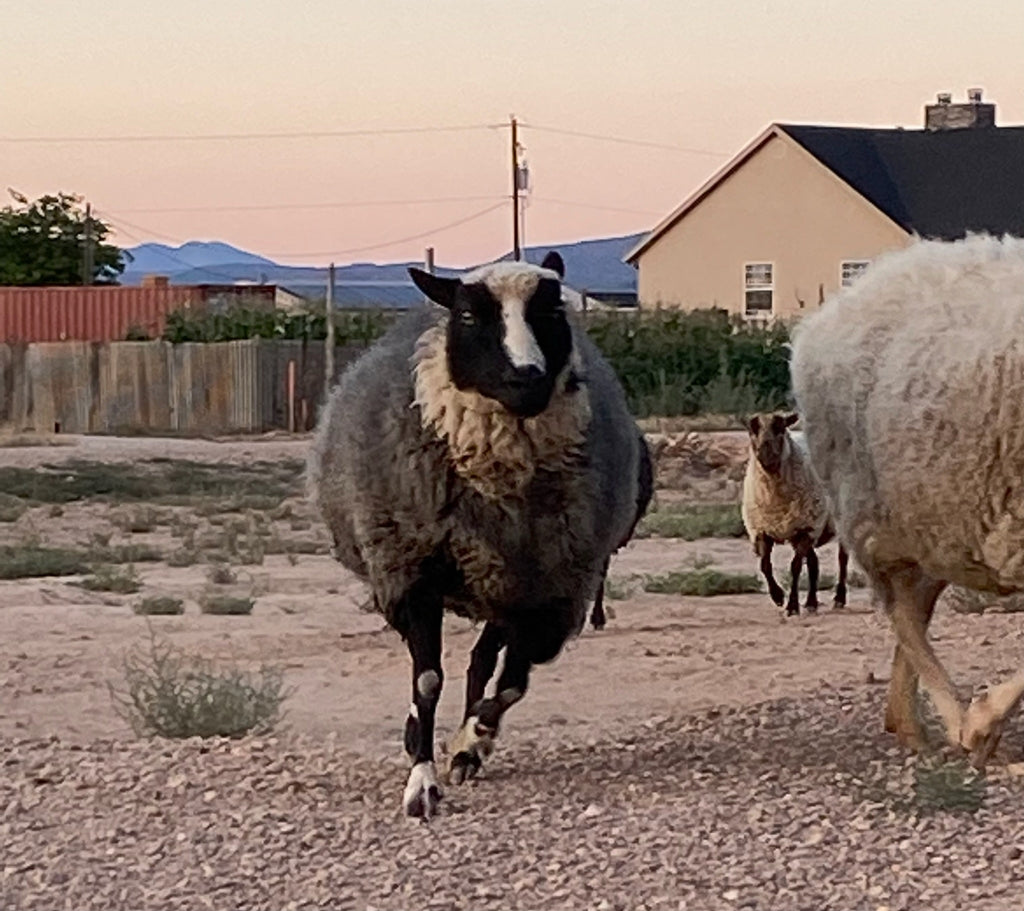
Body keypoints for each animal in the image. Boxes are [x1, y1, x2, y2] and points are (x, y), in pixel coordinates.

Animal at [307, 250, 645, 817]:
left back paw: (469, 745)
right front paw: (421, 781)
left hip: (505, 583)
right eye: (467, 316)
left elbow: (510, 686)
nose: (527, 378)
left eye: (553, 310)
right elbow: (428, 682)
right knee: (467, 666)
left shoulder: (551, 592)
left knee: (483, 664)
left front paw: (472, 740)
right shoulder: (411, 572)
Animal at [741, 411, 848, 615]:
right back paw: (811, 602)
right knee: (814, 563)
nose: (765, 454)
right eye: (752, 429)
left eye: (780, 428)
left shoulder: (805, 528)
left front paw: (791, 606)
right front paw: (778, 597)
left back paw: (839, 598)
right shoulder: (762, 530)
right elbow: (765, 565)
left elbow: (795, 567)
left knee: (842, 559)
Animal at [790, 233, 1024, 769]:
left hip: (937, 521)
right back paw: (955, 724)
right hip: (870, 509)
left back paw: (906, 721)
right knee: (903, 614)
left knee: (915, 606)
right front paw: (982, 721)